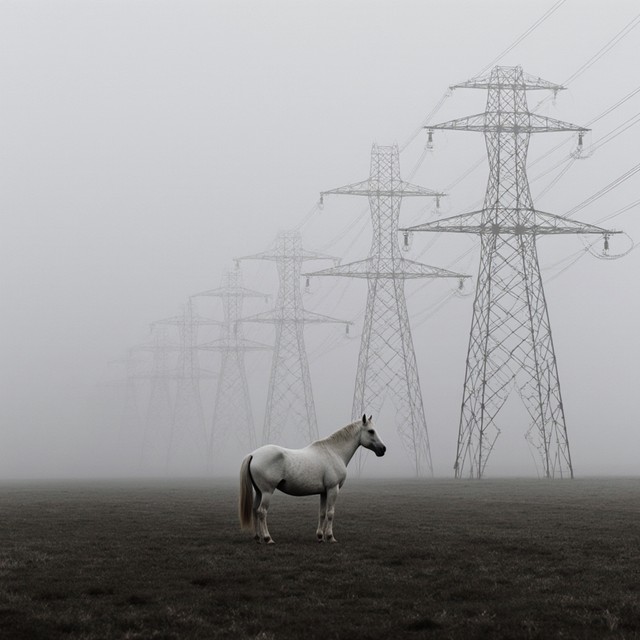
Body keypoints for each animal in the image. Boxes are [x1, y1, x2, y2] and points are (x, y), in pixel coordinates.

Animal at [238, 415, 386, 544]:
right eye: (371, 431)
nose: (383, 449)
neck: (334, 452)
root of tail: (253, 454)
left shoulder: (324, 492)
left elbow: (322, 513)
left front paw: (320, 537)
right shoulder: (333, 489)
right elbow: (330, 513)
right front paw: (330, 537)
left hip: (259, 492)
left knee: (255, 510)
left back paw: (258, 538)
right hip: (267, 492)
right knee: (262, 512)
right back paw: (268, 538)